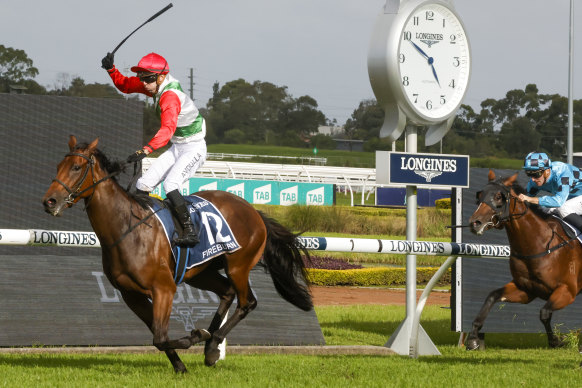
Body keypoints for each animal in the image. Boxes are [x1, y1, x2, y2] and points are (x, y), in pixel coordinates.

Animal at [41, 135, 314, 372]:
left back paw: (212, 342)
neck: (127, 229)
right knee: (227, 292)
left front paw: (195, 336)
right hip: (201, 272)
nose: (49, 201)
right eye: (58, 166)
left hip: (238, 265)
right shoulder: (131, 295)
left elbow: (160, 337)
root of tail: (253, 211)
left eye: (76, 167)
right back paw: (211, 346)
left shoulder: (164, 288)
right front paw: (181, 365)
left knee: (247, 302)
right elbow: (157, 335)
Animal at [470, 168, 582, 350]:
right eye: (480, 195)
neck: (540, 243)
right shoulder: (526, 290)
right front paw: (473, 337)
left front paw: (557, 340)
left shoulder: (567, 290)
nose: (475, 223)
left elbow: (544, 313)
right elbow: (492, 296)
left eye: (498, 196)